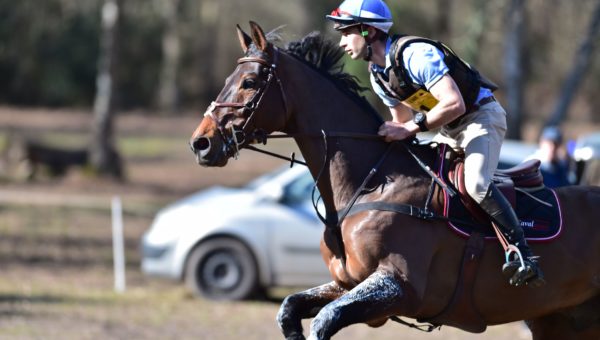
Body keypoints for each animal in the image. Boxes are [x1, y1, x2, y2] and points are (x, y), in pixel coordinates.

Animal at [188, 21, 600, 340]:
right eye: (229, 79)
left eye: (249, 82)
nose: (200, 143)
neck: (372, 183)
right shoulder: (346, 284)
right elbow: (289, 308)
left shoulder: (399, 286)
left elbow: (324, 321)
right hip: (560, 321)